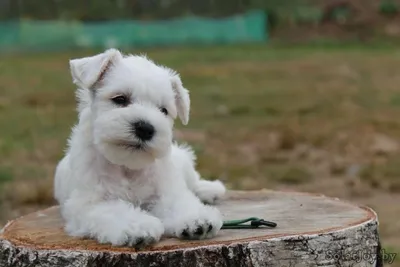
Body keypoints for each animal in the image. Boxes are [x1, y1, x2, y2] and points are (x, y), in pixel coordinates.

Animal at [54, 48, 227, 249]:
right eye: (120, 99)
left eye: (163, 110)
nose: (145, 128)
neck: (127, 166)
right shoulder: (88, 204)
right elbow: (115, 211)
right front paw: (138, 226)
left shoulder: (165, 192)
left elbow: (178, 202)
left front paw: (197, 219)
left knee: (192, 181)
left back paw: (209, 189)